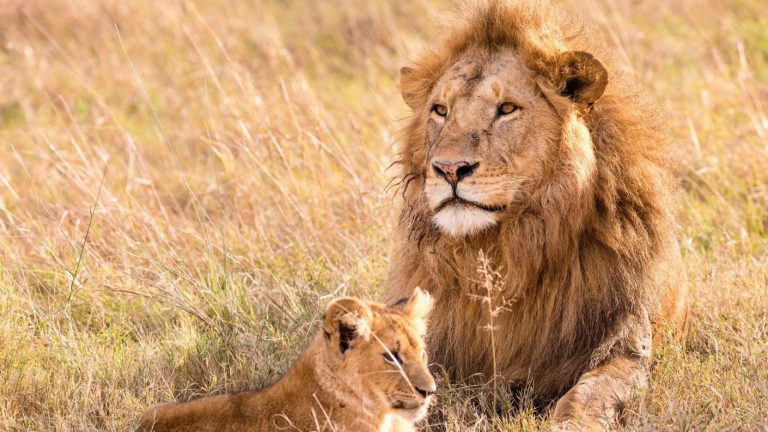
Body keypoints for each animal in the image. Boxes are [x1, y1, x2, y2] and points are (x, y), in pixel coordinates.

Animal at [385, 0, 689, 429]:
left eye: (507, 109)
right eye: (440, 110)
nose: (449, 169)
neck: (504, 251)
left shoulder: (625, 342)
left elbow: (590, 394)